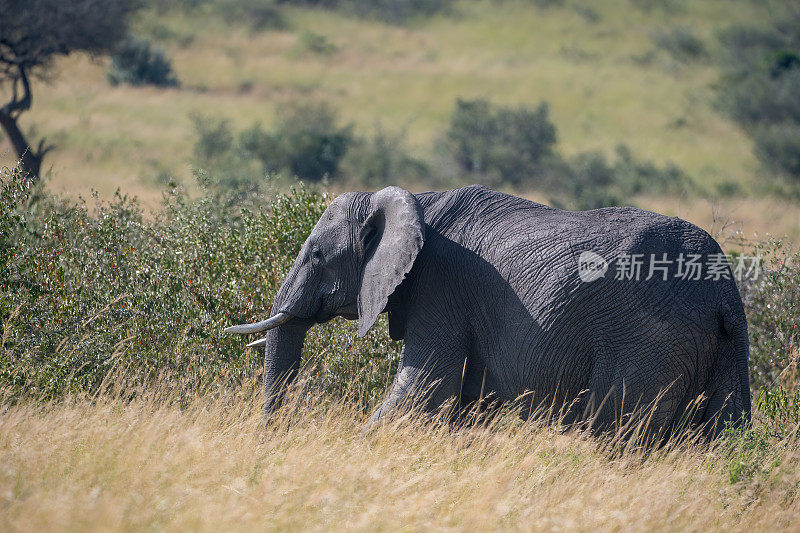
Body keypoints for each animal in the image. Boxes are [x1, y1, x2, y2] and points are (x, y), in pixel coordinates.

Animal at [223, 185, 752, 438]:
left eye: (315, 255)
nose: (271, 445)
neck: (415, 200)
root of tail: (723, 290)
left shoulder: (440, 287)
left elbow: (424, 387)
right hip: (727, 345)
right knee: (719, 436)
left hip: (647, 344)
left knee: (616, 434)